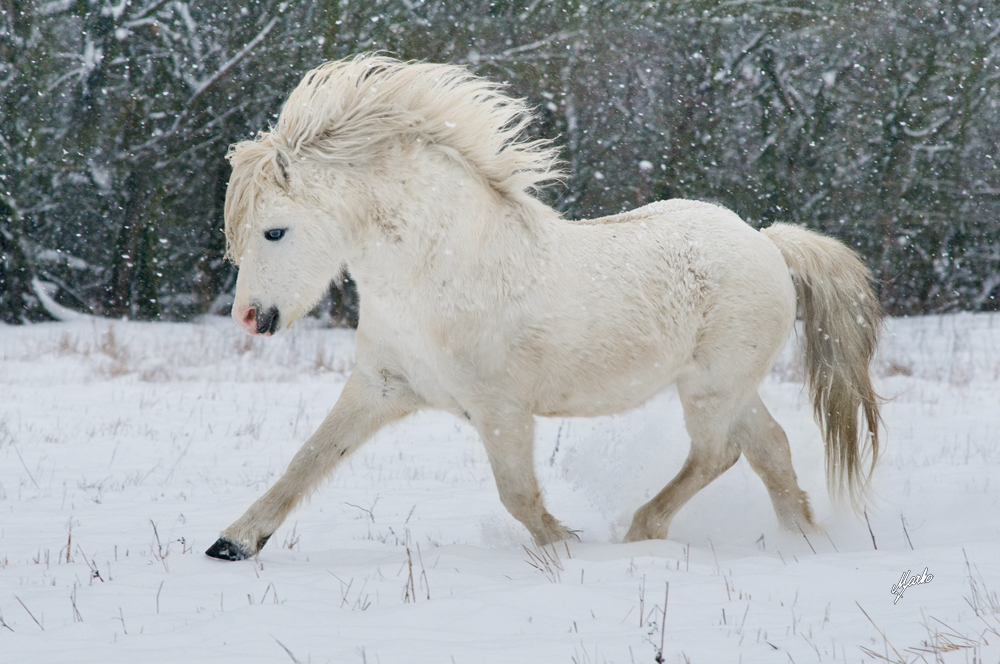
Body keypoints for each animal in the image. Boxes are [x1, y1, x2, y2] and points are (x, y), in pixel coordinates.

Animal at [205, 54, 884, 560]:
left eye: (274, 232)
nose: (250, 318)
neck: (440, 274)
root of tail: (766, 241)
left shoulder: (501, 409)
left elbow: (519, 496)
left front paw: (567, 546)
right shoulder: (381, 386)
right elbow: (308, 459)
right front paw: (233, 543)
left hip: (713, 387)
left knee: (720, 454)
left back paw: (642, 532)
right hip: (730, 388)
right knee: (769, 449)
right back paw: (803, 541)